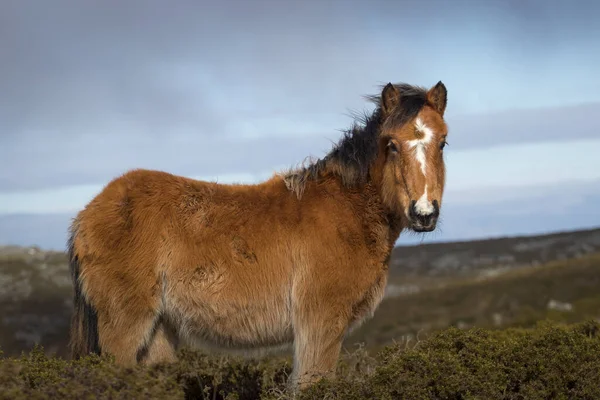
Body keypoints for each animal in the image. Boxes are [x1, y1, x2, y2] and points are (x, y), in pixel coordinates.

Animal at [68, 79, 448, 390]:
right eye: (391, 144)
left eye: (443, 142)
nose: (424, 213)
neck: (348, 208)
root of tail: (90, 211)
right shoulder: (321, 322)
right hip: (125, 327)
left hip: (158, 332)